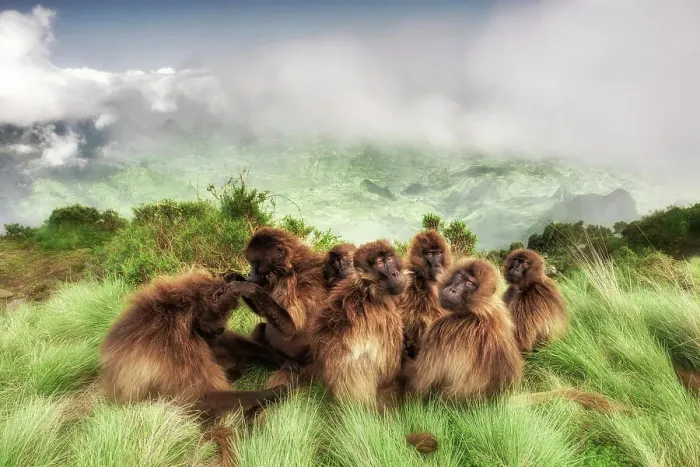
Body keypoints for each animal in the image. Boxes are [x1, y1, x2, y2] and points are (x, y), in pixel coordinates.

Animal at [100, 269, 288, 464]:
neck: (185, 312)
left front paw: (277, 357)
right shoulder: (175, 343)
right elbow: (198, 398)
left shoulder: (202, 332)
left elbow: (222, 344)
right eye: (224, 313)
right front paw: (275, 392)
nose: (220, 329)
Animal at [309, 239, 407, 409]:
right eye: (379, 263)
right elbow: (388, 371)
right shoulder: (385, 318)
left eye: (389, 259)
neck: (368, 290)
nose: (395, 273)